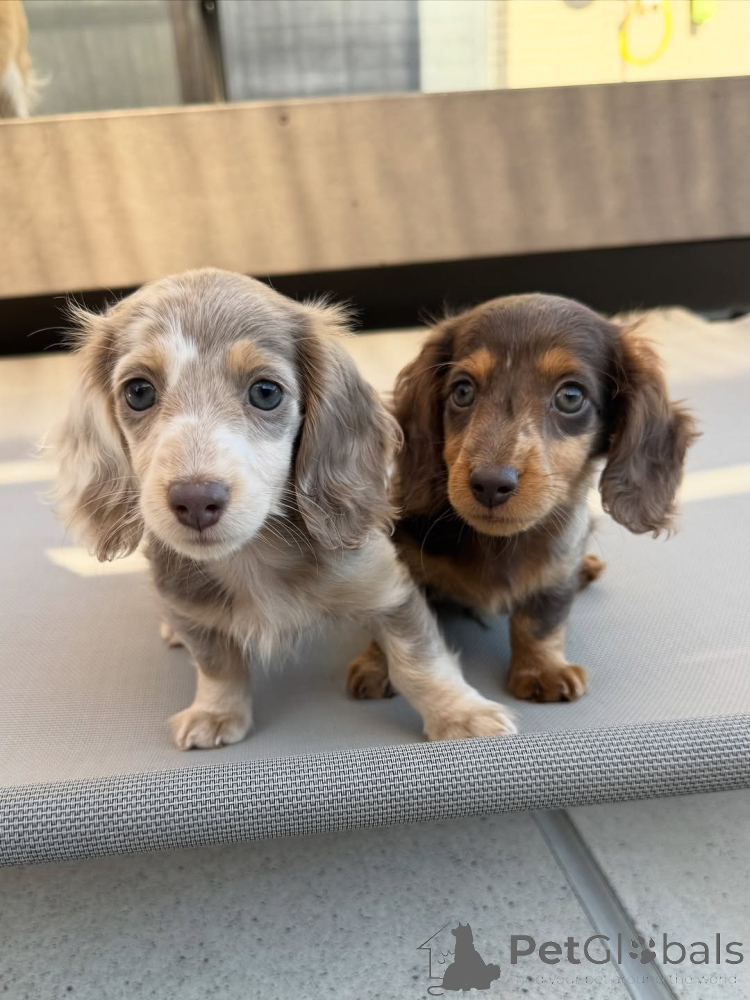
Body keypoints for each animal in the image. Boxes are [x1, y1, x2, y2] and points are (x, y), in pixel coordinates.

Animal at [53, 269, 517, 749]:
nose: (196, 499)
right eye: (139, 392)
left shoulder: (387, 588)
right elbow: (217, 663)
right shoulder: (190, 607)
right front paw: (216, 712)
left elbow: (419, 661)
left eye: (265, 392)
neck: (254, 556)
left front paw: (460, 713)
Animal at [347, 294, 697, 705]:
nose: (489, 484)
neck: (497, 543)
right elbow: (398, 620)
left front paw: (541, 670)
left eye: (571, 397)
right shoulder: (402, 562)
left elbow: (542, 620)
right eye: (462, 391)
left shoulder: (557, 569)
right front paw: (378, 664)